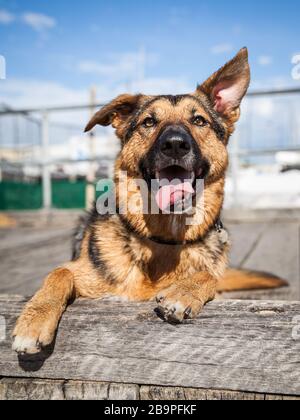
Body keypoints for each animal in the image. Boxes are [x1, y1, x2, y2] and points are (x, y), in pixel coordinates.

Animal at [12, 50, 288, 358]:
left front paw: (184, 292)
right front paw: (34, 320)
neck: (164, 241)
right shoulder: (81, 272)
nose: (175, 144)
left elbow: (209, 275)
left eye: (199, 120)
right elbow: (58, 273)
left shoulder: (209, 271)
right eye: (148, 122)